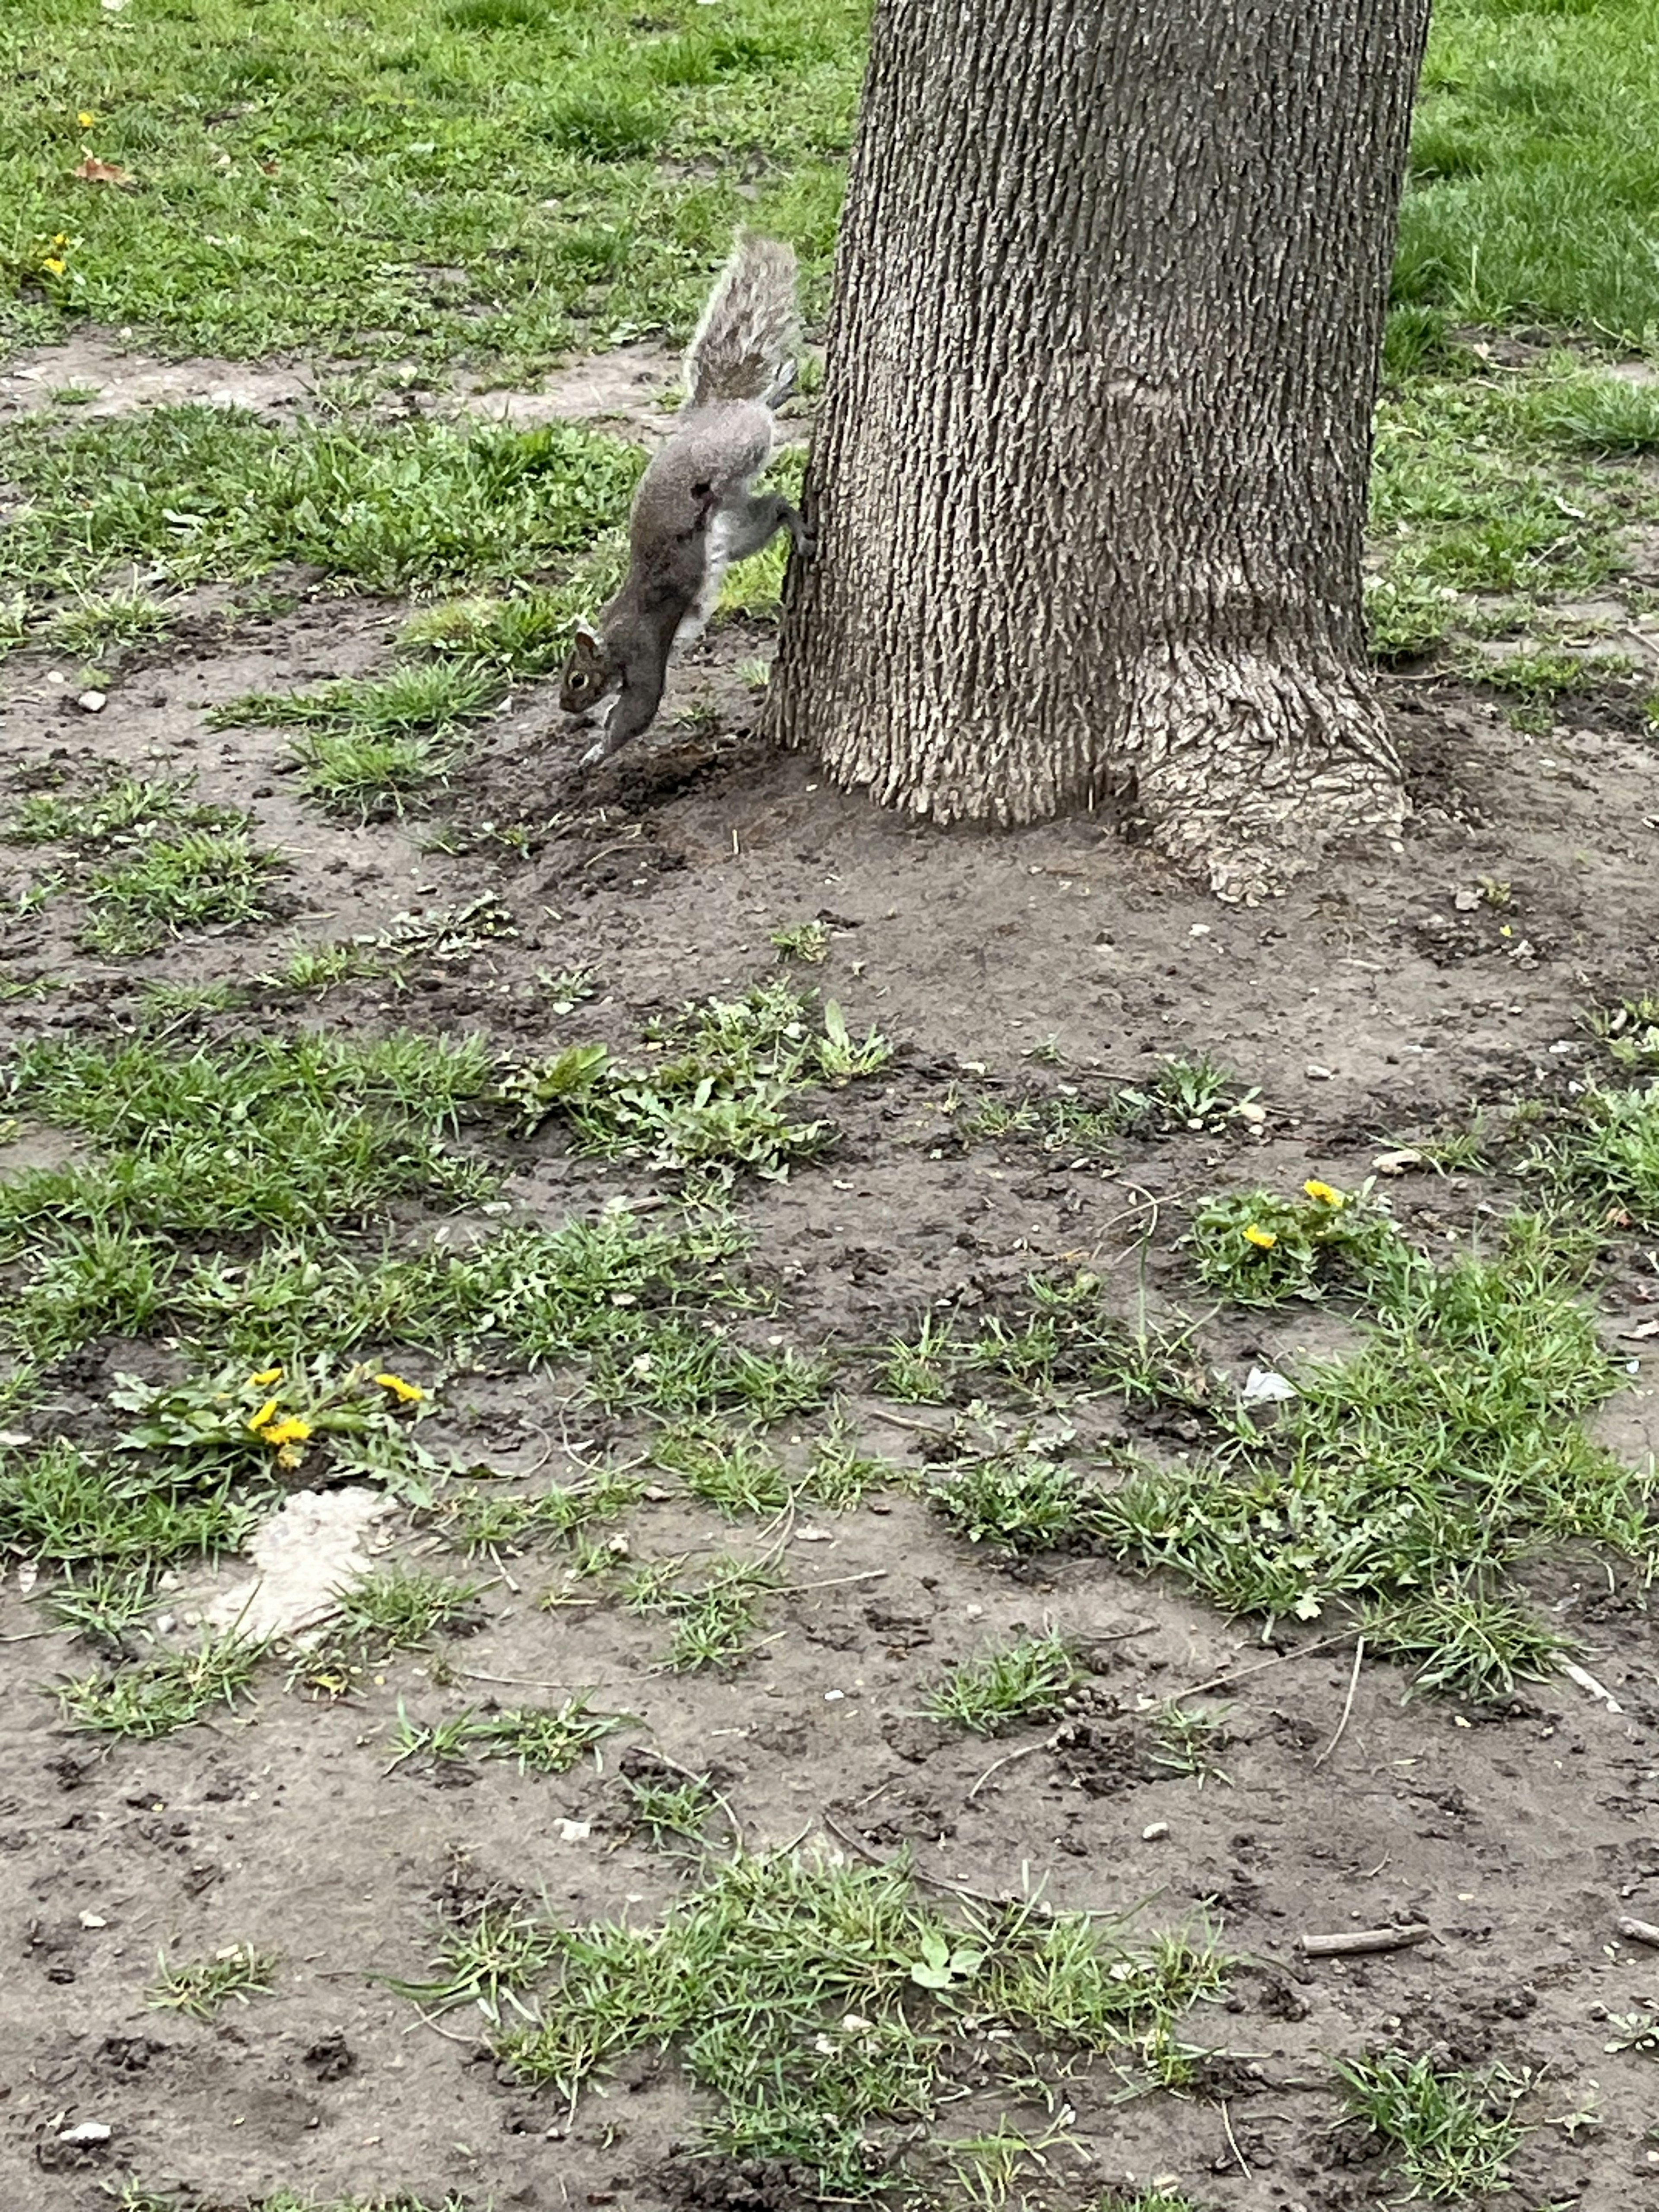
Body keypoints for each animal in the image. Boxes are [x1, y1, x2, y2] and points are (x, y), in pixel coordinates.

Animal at [562, 231, 814, 769]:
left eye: (576, 677)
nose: (566, 707)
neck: (611, 637)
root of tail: (709, 414)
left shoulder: (642, 654)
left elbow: (636, 712)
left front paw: (596, 752)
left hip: (739, 447)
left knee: (761, 430)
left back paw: (776, 391)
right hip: (737, 526)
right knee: (774, 503)